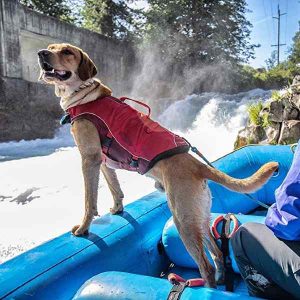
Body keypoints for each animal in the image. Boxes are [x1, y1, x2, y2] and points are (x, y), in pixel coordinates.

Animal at [38, 43, 278, 288]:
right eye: (51, 48)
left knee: (206, 266)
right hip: (200, 218)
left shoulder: (89, 159)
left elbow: (89, 201)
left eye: (67, 52)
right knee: (218, 253)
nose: (41, 54)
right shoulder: (104, 163)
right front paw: (117, 208)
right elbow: (114, 188)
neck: (84, 96)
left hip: (183, 220)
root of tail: (197, 165)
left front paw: (83, 228)